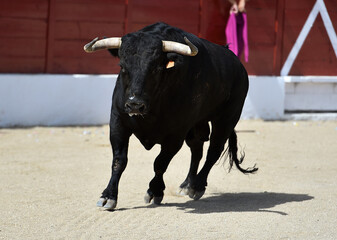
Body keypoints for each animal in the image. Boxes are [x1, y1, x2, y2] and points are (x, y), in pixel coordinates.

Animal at [84, 23, 258, 210]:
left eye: (156, 68)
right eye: (122, 66)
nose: (134, 104)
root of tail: (238, 65)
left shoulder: (176, 135)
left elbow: (160, 163)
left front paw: (155, 192)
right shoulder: (118, 122)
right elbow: (119, 161)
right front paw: (108, 196)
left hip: (227, 118)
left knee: (213, 151)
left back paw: (197, 186)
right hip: (197, 124)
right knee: (197, 149)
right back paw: (187, 185)